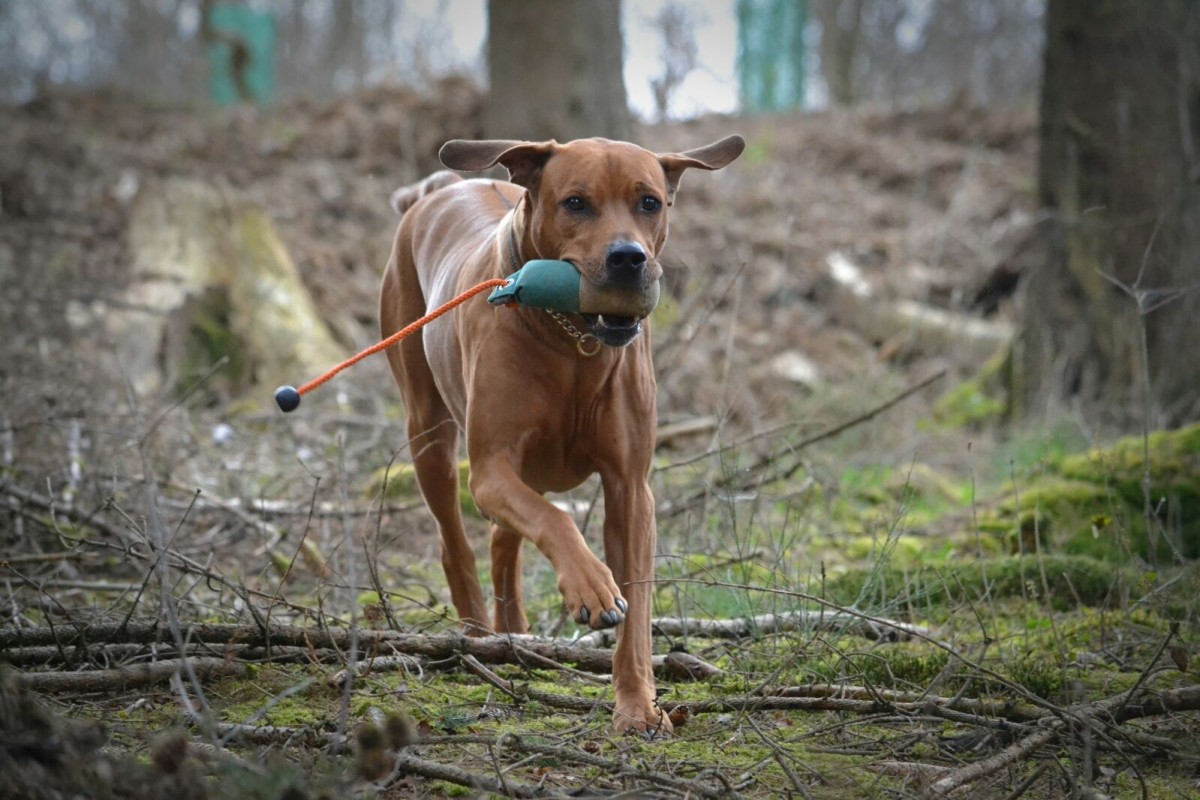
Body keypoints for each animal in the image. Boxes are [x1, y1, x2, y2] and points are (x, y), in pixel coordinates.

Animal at [380, 134, 744, 734]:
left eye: (649, 202)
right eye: (575, 202)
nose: (628, 259)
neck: (574, 340)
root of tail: (441, 188)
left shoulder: (631, 488)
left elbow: (637, 610)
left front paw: (637, 705)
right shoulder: (491, 469)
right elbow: (555, 523)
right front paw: (591, 585)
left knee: (504, 540)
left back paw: (514, 632)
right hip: (427, 430)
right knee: (456, 541)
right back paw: (477, 638)